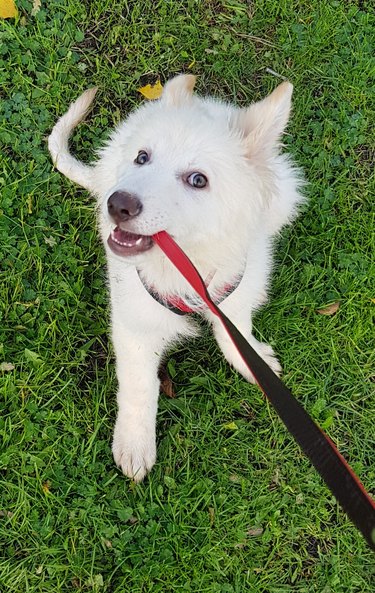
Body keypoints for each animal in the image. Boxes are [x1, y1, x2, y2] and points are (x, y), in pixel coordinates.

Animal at [48, 75, 304, 480]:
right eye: (142, 157)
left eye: (198, 180)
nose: (117, 204)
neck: (187, 268)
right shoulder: (135, 325)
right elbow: (140, 388)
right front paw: (134, 444)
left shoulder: (237, 287)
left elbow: (236, 329)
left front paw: (253, 361)